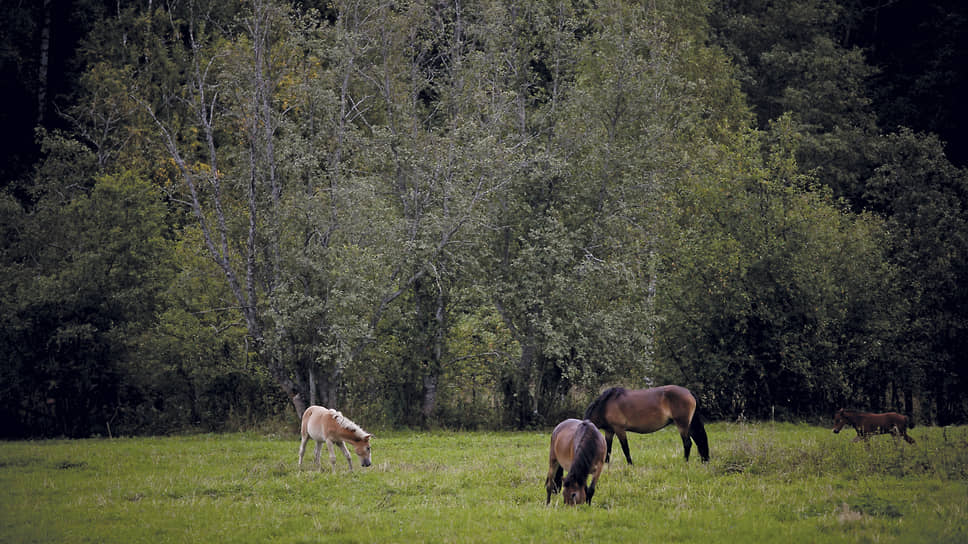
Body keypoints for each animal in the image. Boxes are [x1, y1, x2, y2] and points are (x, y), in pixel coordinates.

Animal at [584, 384, 712, 466]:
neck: (605, 405)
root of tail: (688, 392)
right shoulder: (609, 431)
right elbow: (608, 448)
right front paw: (606, 464)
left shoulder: (619, 429)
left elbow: (625, 448)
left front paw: (630, 464)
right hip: (689, 425)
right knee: (699, 441)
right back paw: (703, 460)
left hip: (682, 424)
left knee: (687, 443)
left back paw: (685, 462)